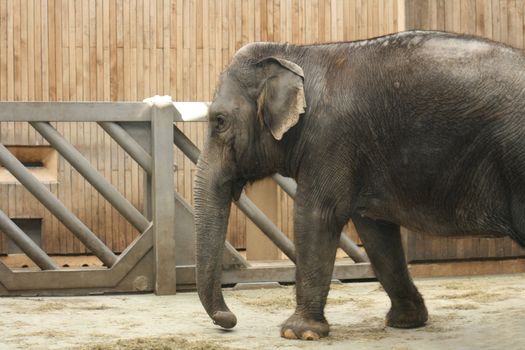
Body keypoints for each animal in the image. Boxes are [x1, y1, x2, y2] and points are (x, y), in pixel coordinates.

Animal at [192, 31, 524, 340]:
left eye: (219, 121)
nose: (228, 319)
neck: (296, 52)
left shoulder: (330, 139)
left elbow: (317, 215)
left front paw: (297, 333)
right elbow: (375, 232)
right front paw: (405, 322)